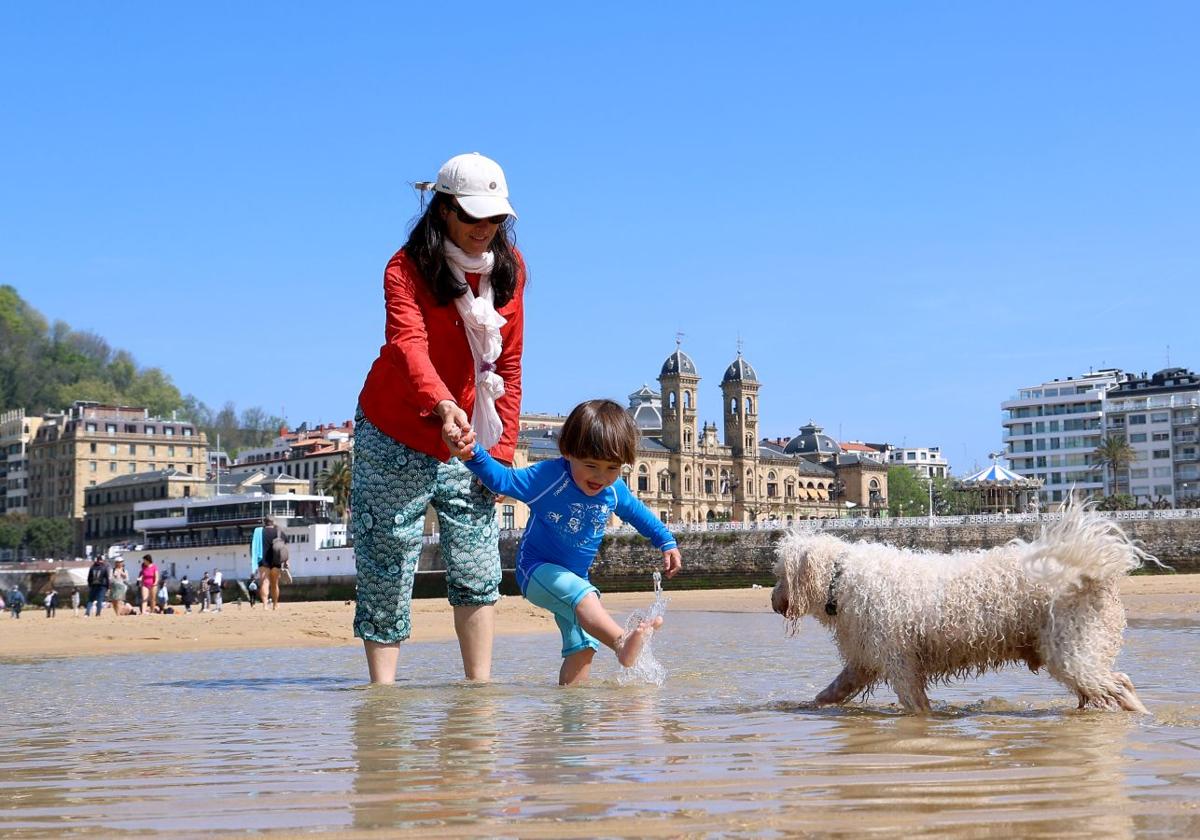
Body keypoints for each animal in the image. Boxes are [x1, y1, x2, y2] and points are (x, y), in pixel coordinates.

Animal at [772, 506, 1156, 715]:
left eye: (778, 574)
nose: (773, 602)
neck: (841, 579)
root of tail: (1092, 571)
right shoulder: (864, 660)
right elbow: (830, 692)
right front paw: (803, 707)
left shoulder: (899, 660)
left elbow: (915, 704)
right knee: (1116, 682)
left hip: (1071, 650)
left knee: (1118, 685)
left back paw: (1144, 716)